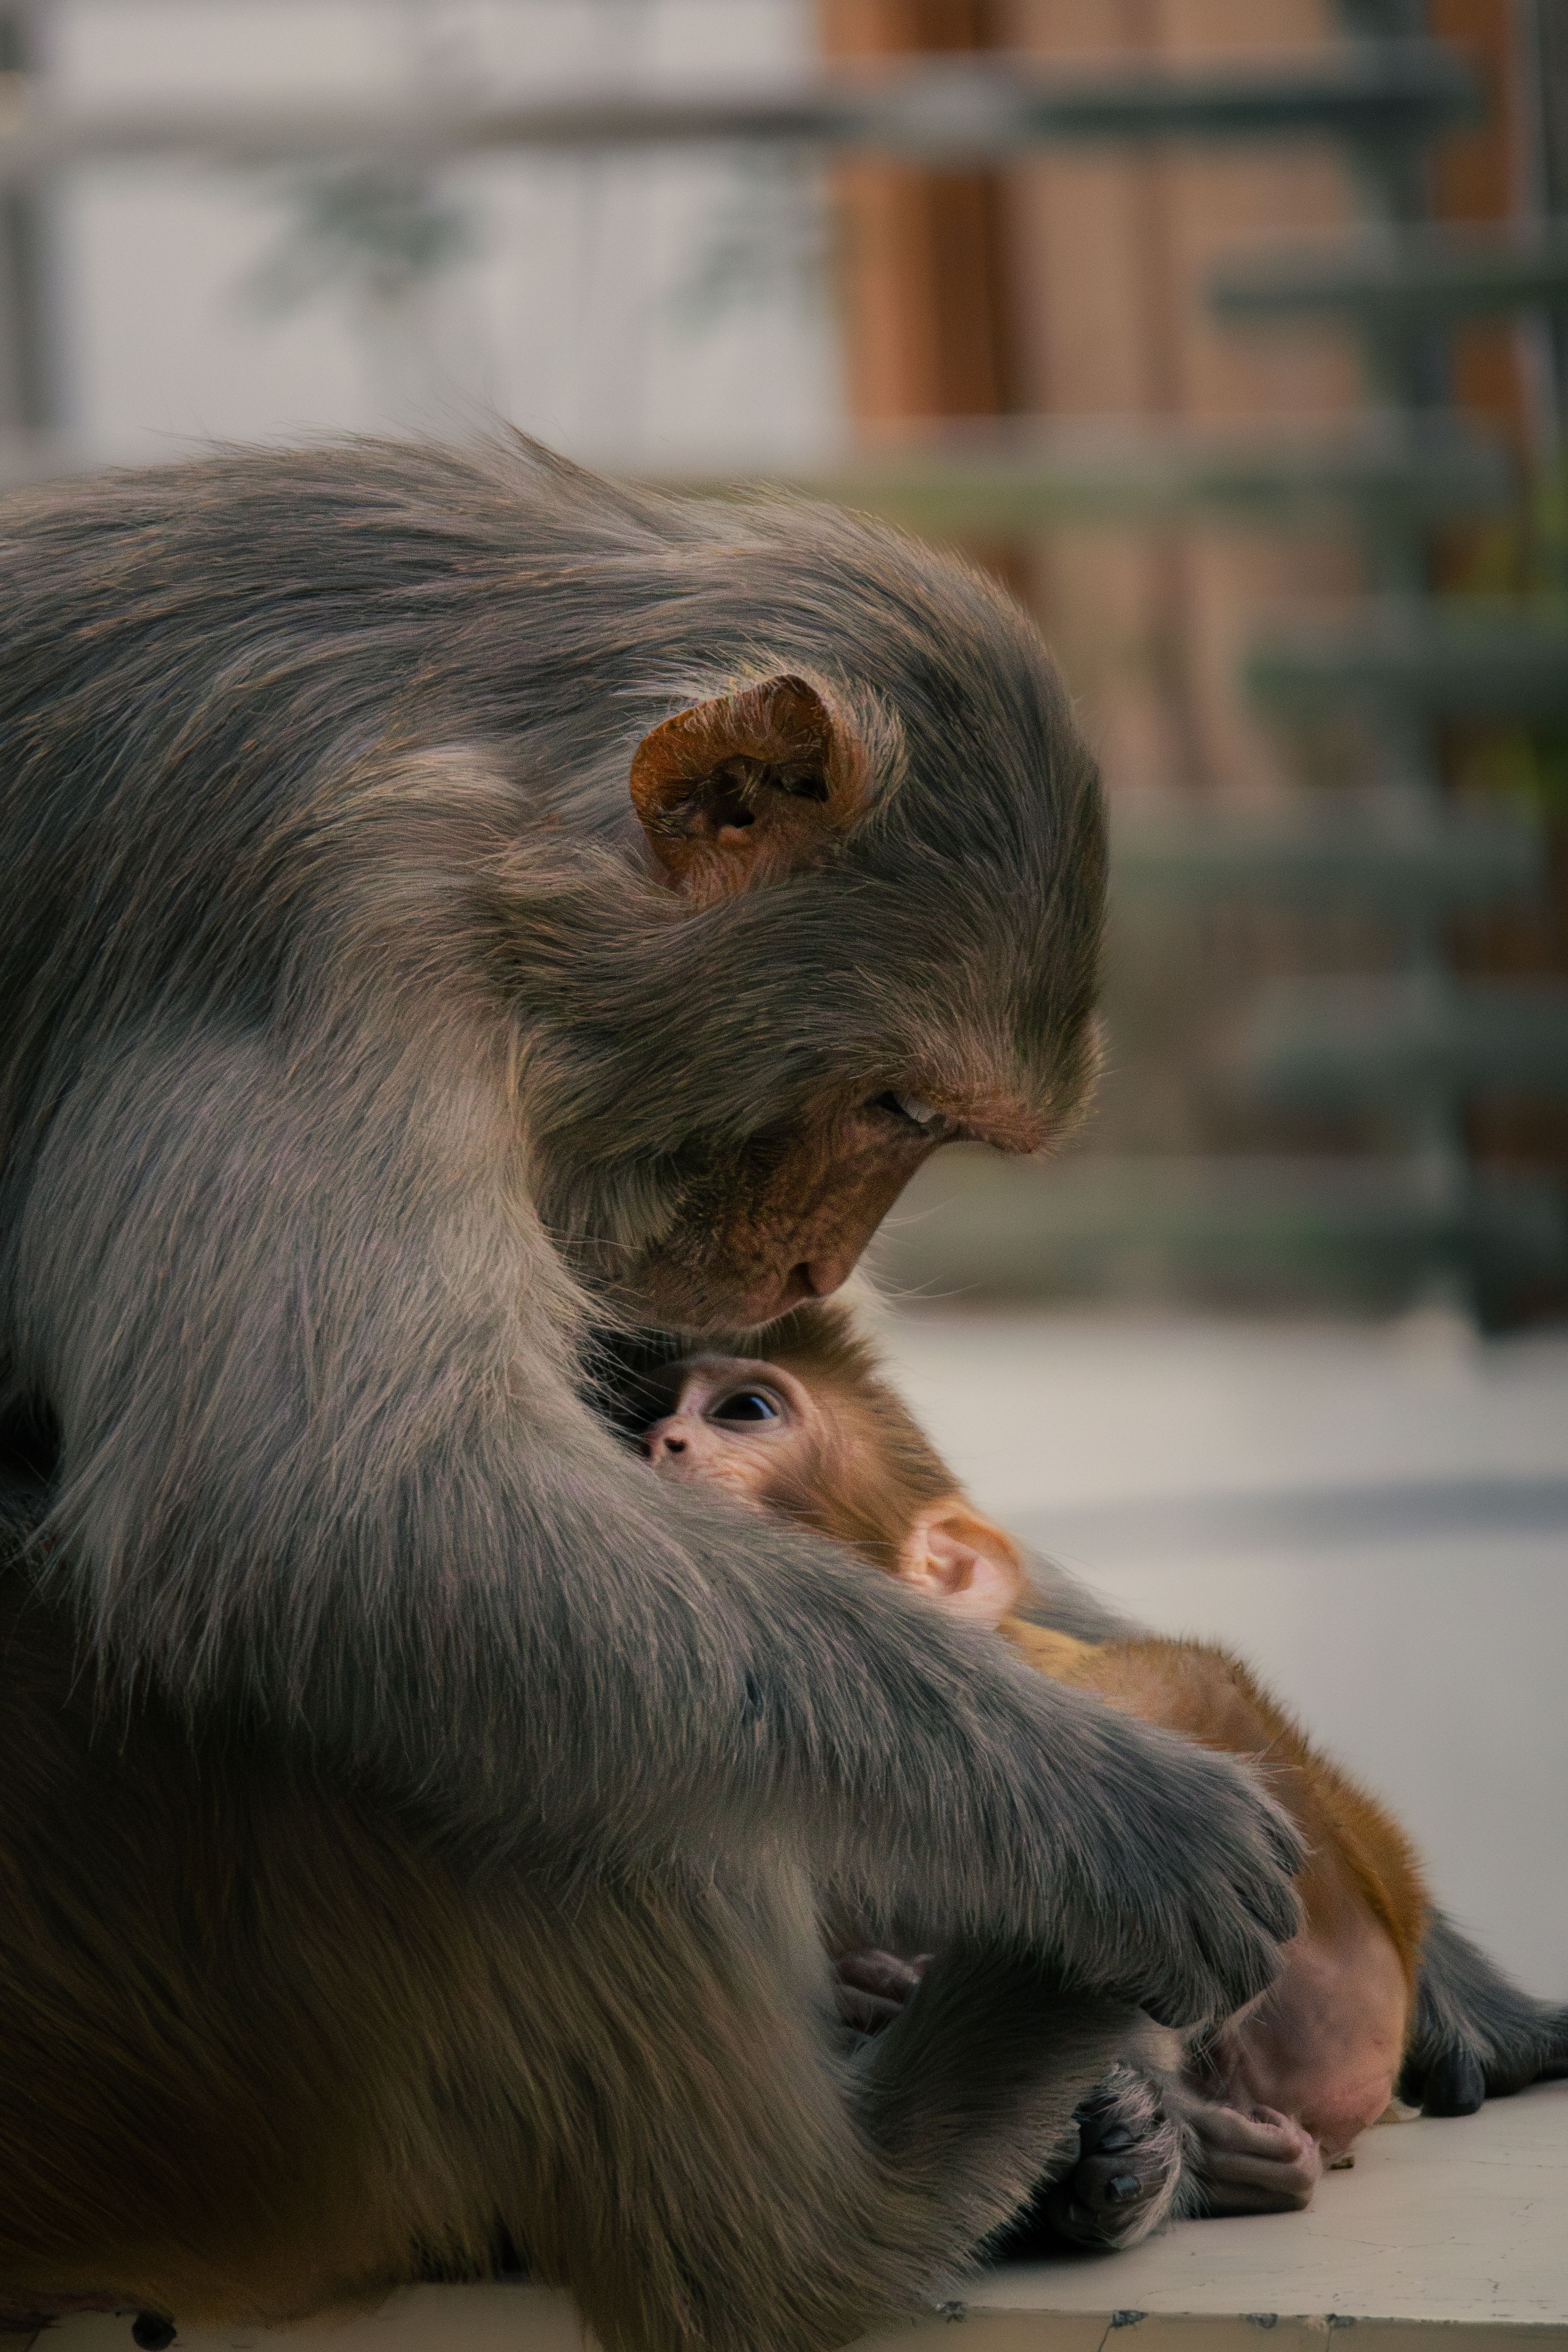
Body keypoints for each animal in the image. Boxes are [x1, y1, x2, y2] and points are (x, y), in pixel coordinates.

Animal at [0, 435, 1311, 2350]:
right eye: (900, 1107)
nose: (813, 1264)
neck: (486, 760)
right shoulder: (342, 943)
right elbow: (321, 1511)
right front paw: (1114, 1812)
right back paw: (850, 2208)